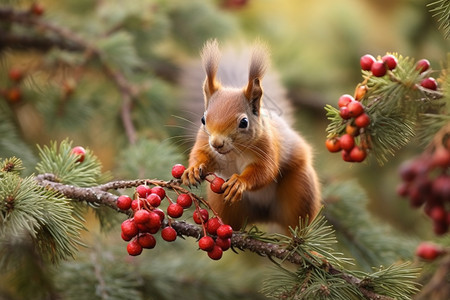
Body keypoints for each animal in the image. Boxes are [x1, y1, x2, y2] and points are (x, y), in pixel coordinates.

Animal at [181, 39, 322, 231]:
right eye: (203, 119)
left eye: (244, 122)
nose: (217, 143)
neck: (233, 152)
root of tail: (264, 215)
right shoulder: (204, 142)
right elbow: (200, 155)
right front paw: (193, 169)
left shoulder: (266, 147)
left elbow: (264, 170)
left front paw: (239, 182)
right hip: (223, 200)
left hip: (300, 190)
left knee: (296, 224)